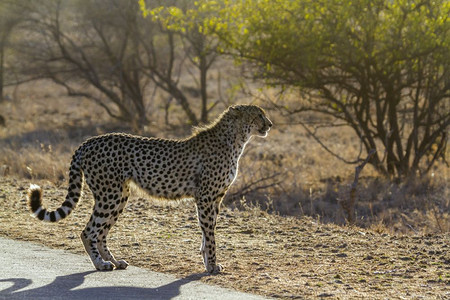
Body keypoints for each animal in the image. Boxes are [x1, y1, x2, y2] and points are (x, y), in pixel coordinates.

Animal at [29, 104, 274, 274]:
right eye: (258, 115)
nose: (270, 124)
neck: (236, 139)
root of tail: (89, 141)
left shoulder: (215, 199)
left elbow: (207, 233)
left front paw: (206, 261)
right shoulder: (205, 197)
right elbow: (210, 235)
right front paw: (212, 266)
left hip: (120, 195)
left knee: (101, 233)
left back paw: (115, 261)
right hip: (110, 195)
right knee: (88, 231)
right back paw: (101, 264)